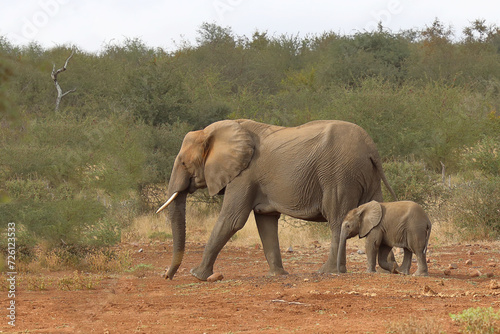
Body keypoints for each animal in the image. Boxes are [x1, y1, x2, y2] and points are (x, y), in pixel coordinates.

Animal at [158, 118, 396, 280]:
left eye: (183, 163)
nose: (166, 276)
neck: (213, 132)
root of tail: (370, 147)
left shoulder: (244, 175)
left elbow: (232, 220)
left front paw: (197, 275)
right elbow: (266, 222)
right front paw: (278, 275)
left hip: (339, 175)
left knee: (337, 220)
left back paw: (327, 272)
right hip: (366, 175)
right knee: (379, 213)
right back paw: (391, 269)